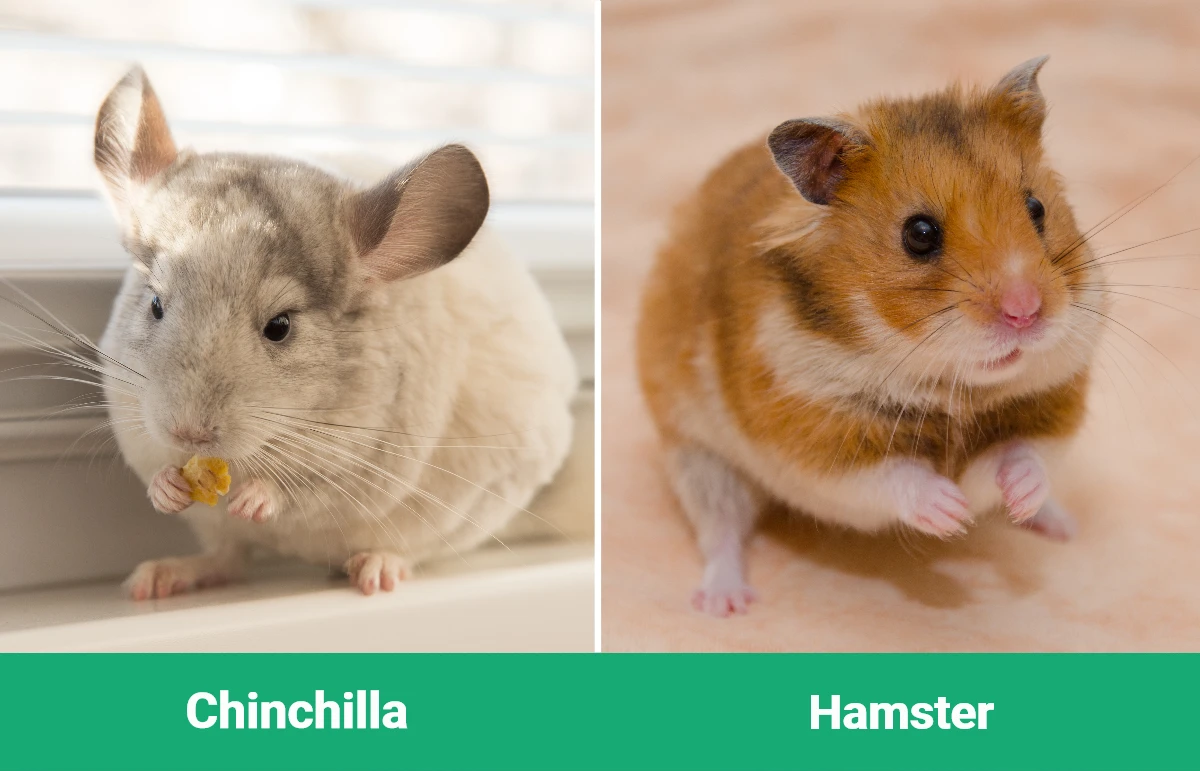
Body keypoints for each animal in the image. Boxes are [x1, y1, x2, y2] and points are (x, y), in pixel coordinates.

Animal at [93, 66, 577, 599]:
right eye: (156, 304)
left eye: (280, 326)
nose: (188, 433)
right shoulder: (137, 427)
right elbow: (162, 474)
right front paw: (167, 487)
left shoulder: (360, 459)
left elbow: (304, 492)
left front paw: (256, 499)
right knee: (227, 557)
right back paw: (160, 577)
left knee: (411, 551)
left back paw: (377, 569)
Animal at [637, 57, 1108, 617]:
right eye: (919, 235)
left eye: (1037, 209)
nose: (1026, 312)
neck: (952, 387)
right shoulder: (812, 436)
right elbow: (895, 475)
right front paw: (952, 513)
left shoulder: (1050, 404)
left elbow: (1020, 454)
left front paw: (1010, 497)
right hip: (698, 458)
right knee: (720, 531)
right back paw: (724, 604)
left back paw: (1060, 525)